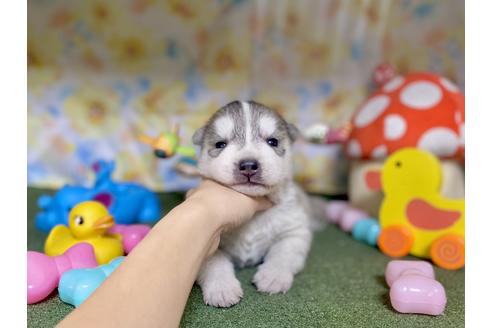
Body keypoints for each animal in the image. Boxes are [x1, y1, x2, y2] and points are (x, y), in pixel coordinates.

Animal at [190, 100, 320, 308]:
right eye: (220, 144)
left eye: (273, 141)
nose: (249, 165)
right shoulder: (206, 243)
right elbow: (215, 262)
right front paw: (222, 288)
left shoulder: (294, 231)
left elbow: (283, 253)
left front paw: (273, 276)